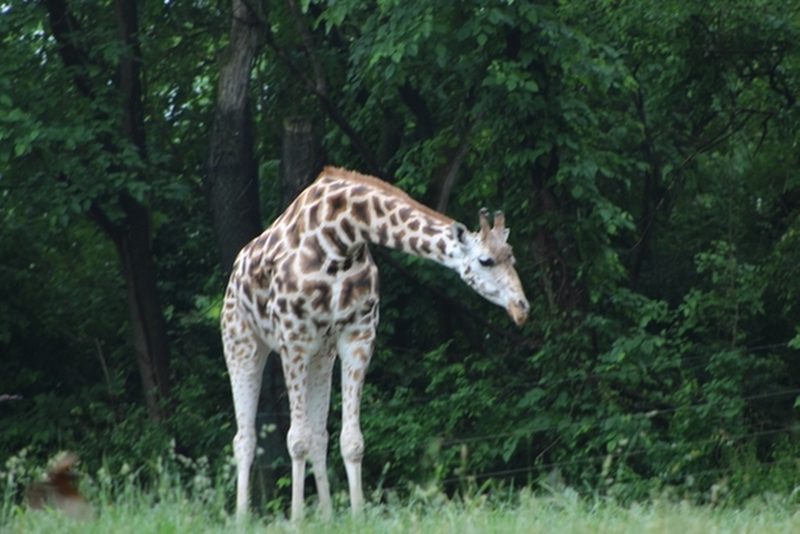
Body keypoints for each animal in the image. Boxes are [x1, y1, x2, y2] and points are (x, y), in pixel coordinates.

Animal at [221, 166, 529, 521]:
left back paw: (326, 516)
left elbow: (351, 440)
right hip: (242, 343)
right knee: (245, 438)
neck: (342, 238)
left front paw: (357, 516)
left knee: (318, 435)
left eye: (512, 257)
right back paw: (242, 517)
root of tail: (234, 272)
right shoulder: (293, 338)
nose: (522, 308)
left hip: (321, 356)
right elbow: (295, 439)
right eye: (485, 261)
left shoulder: (358, 335)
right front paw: (297, 519)